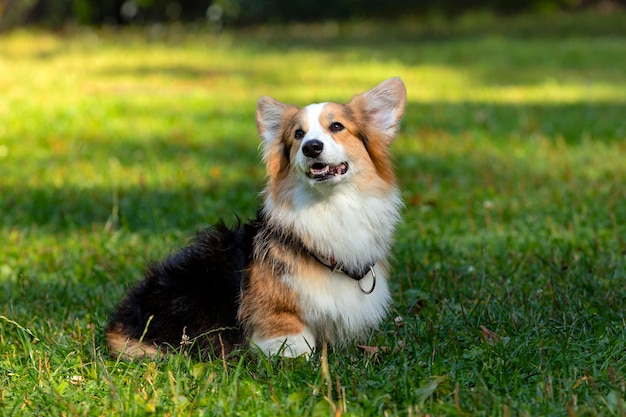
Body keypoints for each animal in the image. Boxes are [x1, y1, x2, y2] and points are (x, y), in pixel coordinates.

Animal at [105, 77, 408, 358]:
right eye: (298, 134)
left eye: (336, 127)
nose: (311, 147)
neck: (330, 206)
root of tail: (115, 327)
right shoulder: (277, 316)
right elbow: (296, 341)